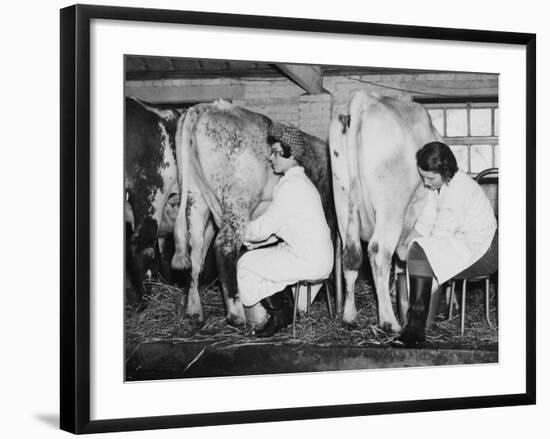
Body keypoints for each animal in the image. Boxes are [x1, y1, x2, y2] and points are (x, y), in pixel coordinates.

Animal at [330, 93, 442, 334]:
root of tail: (362, 99)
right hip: (390, 208)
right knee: (379, 252)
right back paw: (390, 322)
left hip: (342, 199)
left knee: (351, 255)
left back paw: (349, 316)